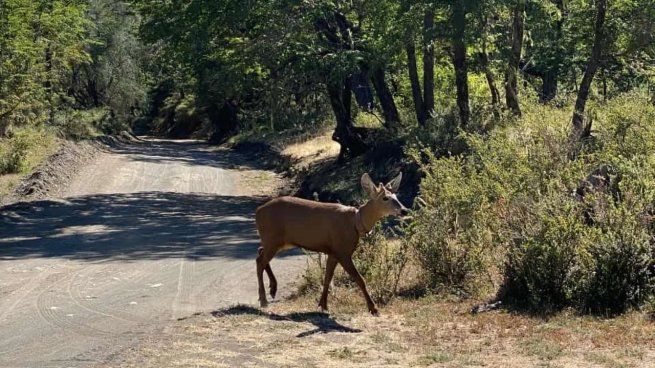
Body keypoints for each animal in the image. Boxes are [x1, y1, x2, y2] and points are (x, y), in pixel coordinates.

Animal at [254, 171, 408, 314]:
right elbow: (360, 279)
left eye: (396, 196)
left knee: (260, 252)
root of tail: (258, 211)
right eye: (385, 198)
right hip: (273, 238)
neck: (356, 223)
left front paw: (323, 304)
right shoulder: (342, 251)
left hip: (280, 241)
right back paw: (264, 300)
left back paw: (272, 289)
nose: (404, 210)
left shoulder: (333, 252)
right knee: (260, 261)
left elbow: (328, 277)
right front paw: (373, 309)